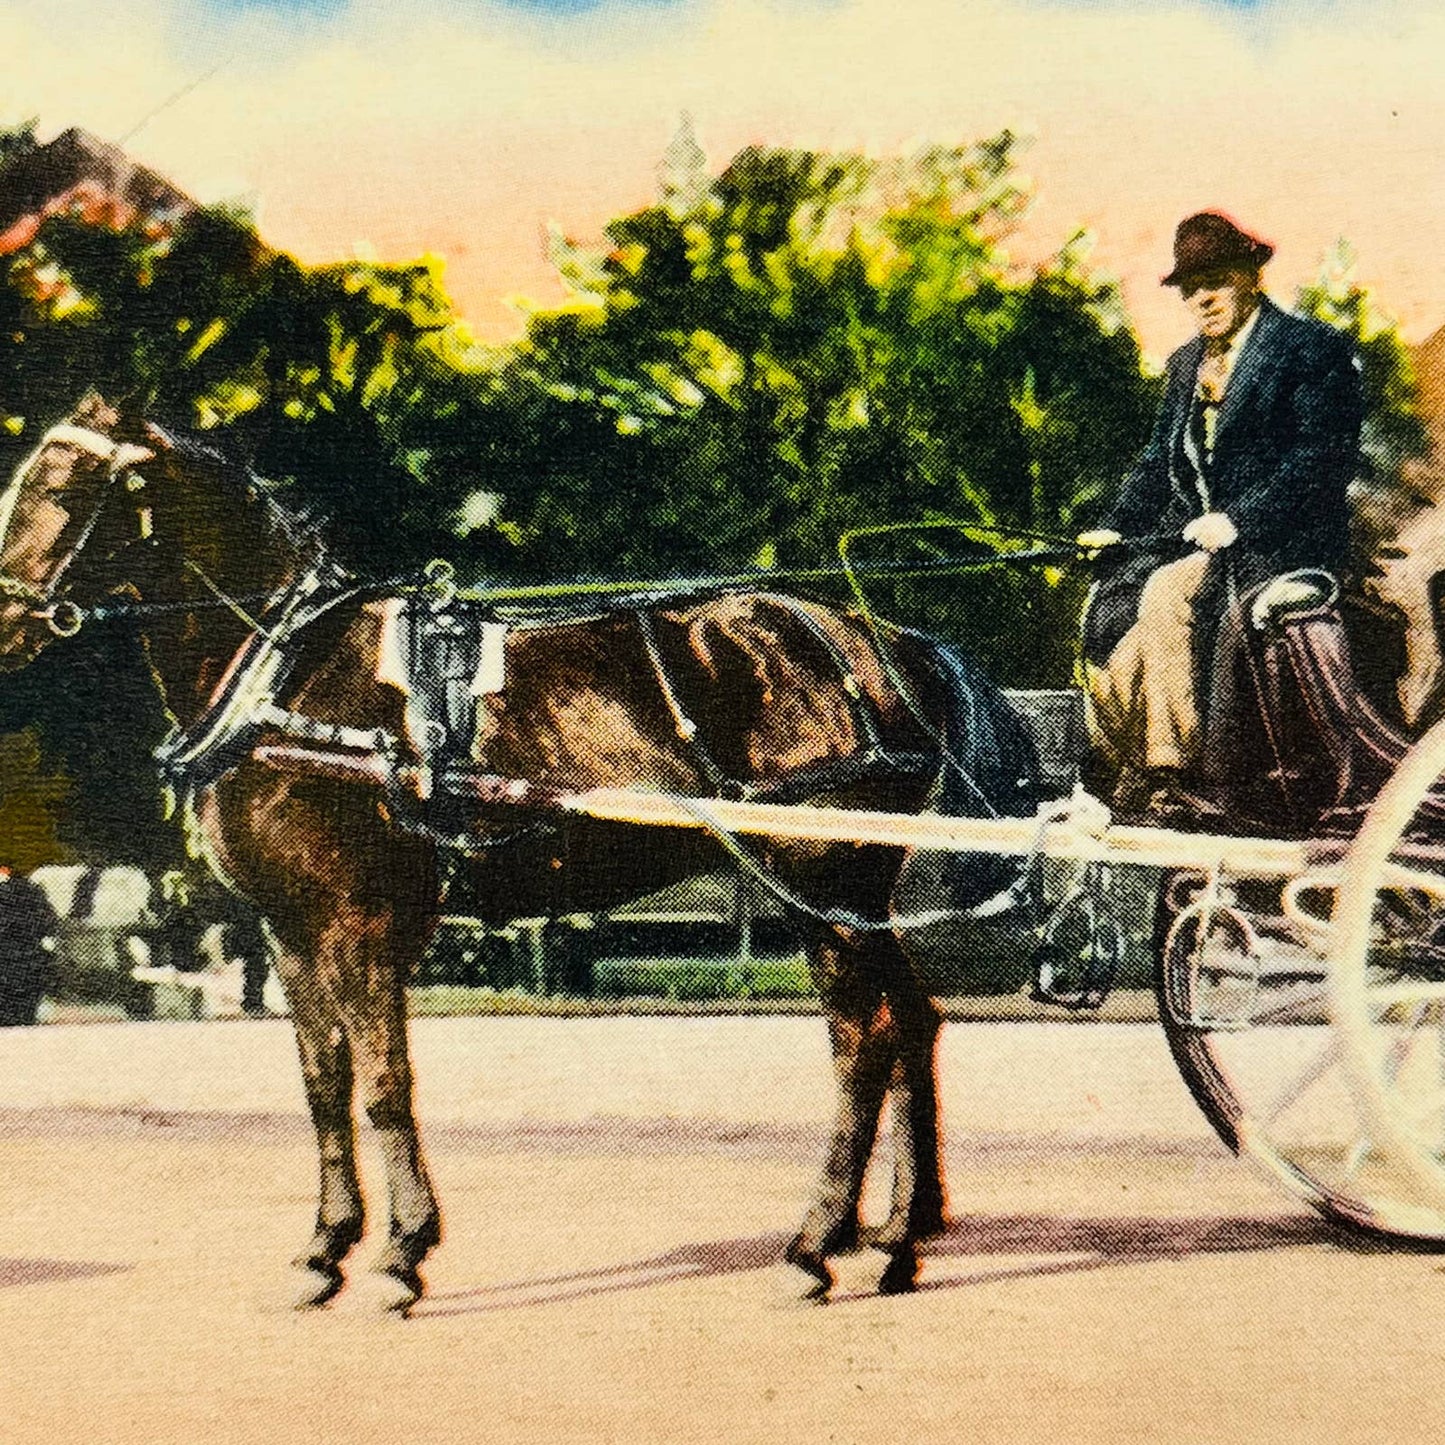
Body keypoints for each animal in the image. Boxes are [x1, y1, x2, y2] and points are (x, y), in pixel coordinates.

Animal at [0, 395, 1040, 1312]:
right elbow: (325, 1085)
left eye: (58, 488)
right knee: (911, 1025)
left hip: (817, 889)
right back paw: (897, 1238)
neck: (291, 675)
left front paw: (401, 1254)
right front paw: (326, 1250)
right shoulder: (289, 929)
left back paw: (815, 1243)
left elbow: (385, 1082)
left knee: (862, 1044)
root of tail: (877, 638)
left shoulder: (359, 918)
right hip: (851, 896)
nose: (5, 623)